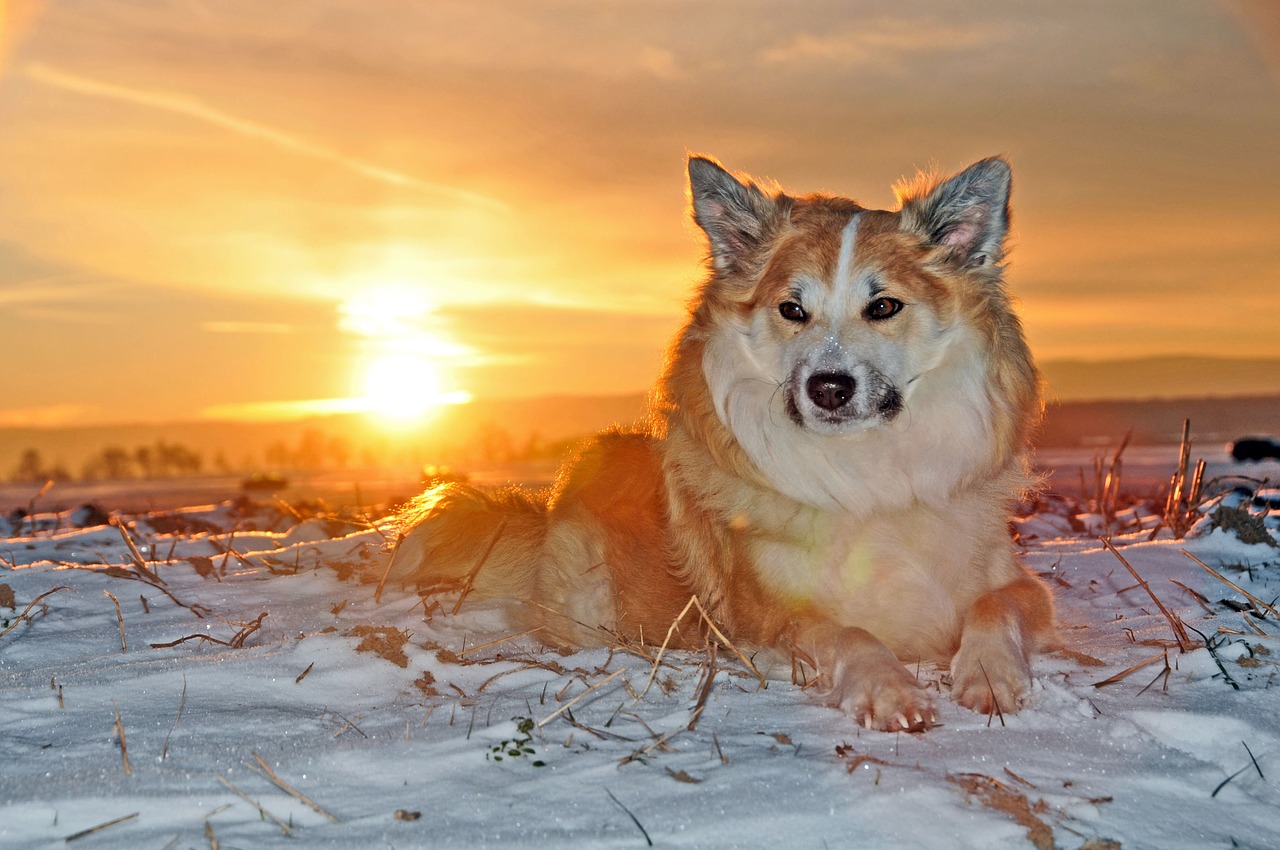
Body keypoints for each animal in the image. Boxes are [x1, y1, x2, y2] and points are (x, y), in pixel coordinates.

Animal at [381, 152, 1059, 732]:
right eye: (792, 310)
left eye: (885, 306)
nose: (827, 388)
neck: (865, 469)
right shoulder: (774, 619)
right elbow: (851, 636)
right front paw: (889, 690)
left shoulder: (1022, 585)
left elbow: (994, 607)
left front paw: (990, 675)